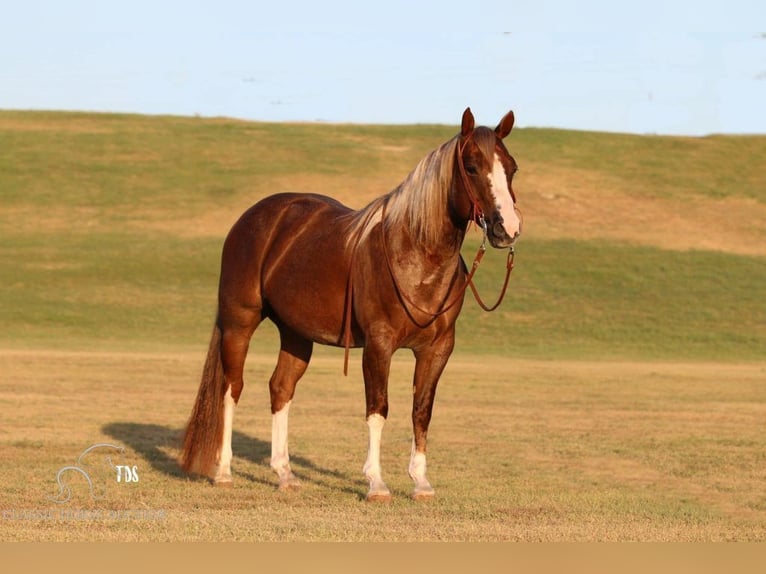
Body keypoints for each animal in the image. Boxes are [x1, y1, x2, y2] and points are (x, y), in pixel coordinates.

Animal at [182, 106, 520, 502]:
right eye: (471, 166)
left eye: (511, 167)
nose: (508, 228)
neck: (416, 257)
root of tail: (254, 217)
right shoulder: (378, 345)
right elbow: (378, 408)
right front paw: (376, 483)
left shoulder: (438, 349)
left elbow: (421, 411)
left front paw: (420, 482)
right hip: (240, 324)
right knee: (231, 389)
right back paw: (223, 471)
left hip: (296, 335)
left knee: (280, 389)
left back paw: (285, 474)